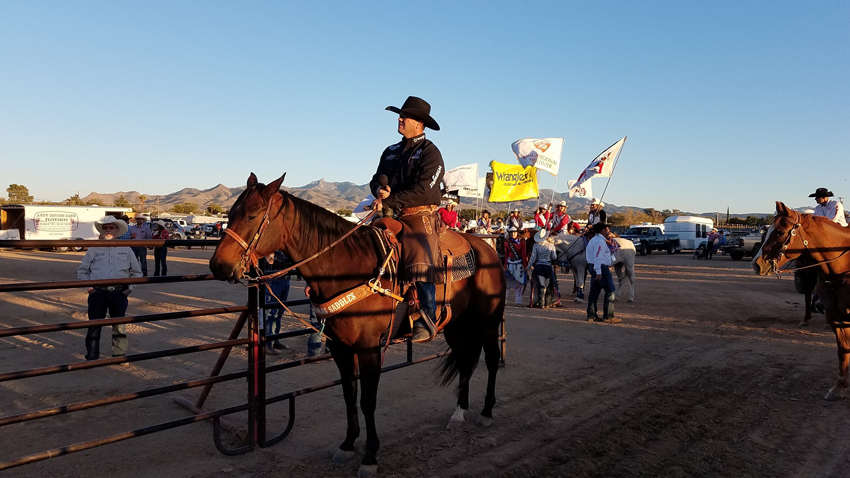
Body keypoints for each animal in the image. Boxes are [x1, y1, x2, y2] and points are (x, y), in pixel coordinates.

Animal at [748, 202, 848, 400]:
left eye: (780, 232)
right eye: (764, 233)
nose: (756, 264)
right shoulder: (835, 315)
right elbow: (842, 350)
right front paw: (839, 387)